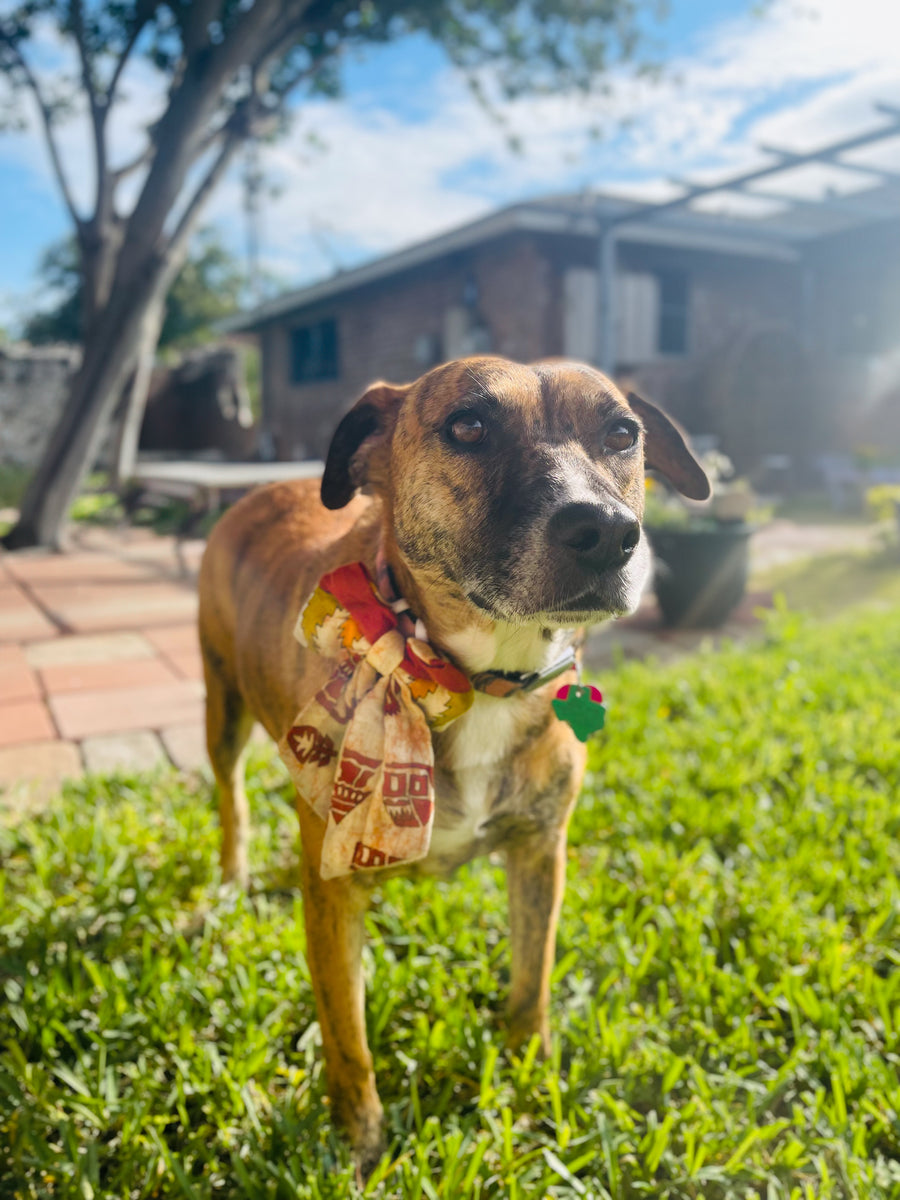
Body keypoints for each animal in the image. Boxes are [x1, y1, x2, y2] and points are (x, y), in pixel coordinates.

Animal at [199, 352, 710, 1161]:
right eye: (467, 426)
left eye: (623, 434)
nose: (605, 531)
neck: (476, 678)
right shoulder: (332, 890)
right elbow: (346, 1031)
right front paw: (358, 1140)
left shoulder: (539, 851)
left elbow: (531, 982)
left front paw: (531, 1079)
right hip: (221, 706)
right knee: (230, 798)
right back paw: (229, 879)